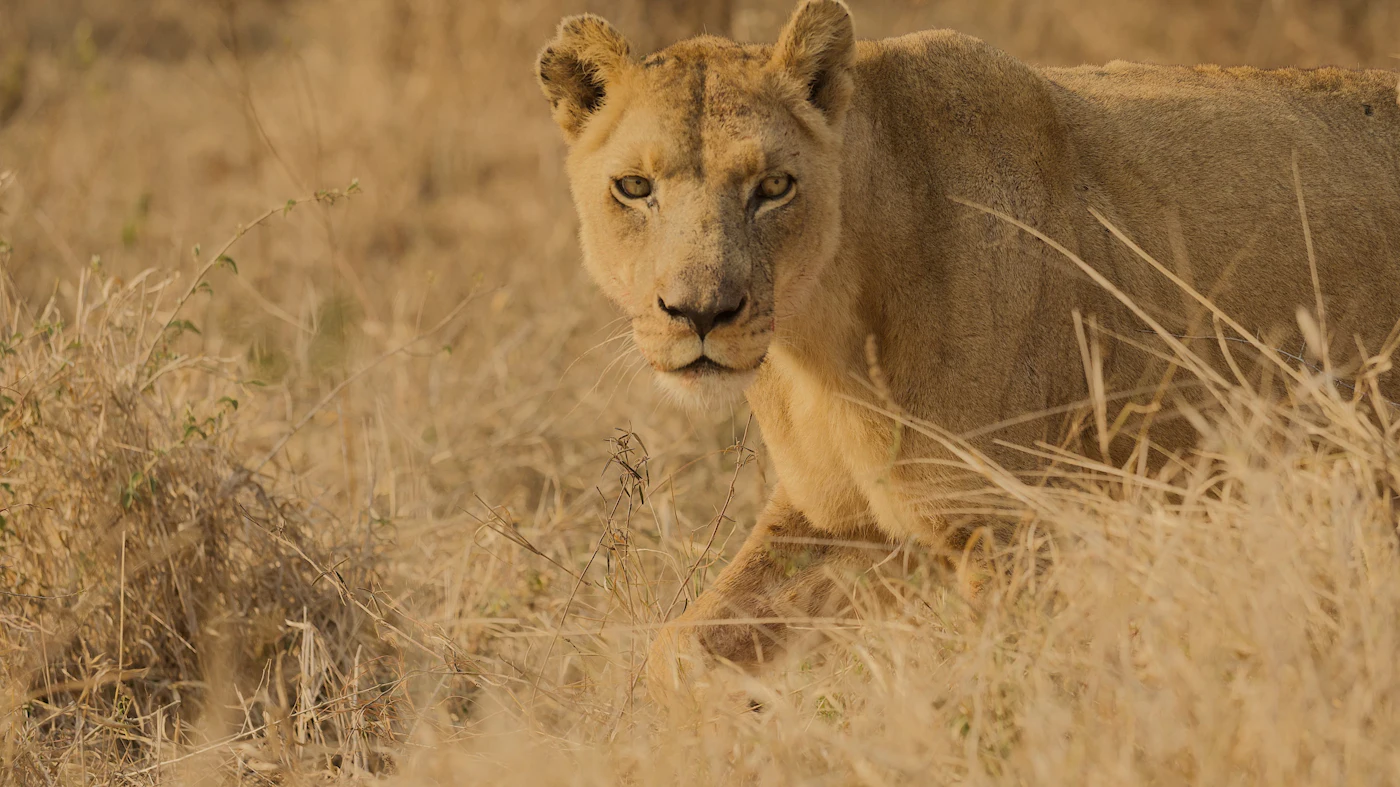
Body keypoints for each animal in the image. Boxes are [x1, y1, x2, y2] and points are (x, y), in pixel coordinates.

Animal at [535, 0, 1400, 692]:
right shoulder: (837, 518)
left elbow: (996, 688)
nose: (700, 312)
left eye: (774, 186)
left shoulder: (1009, 525)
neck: (821, 342)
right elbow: (684, 647)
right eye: (634, 187)